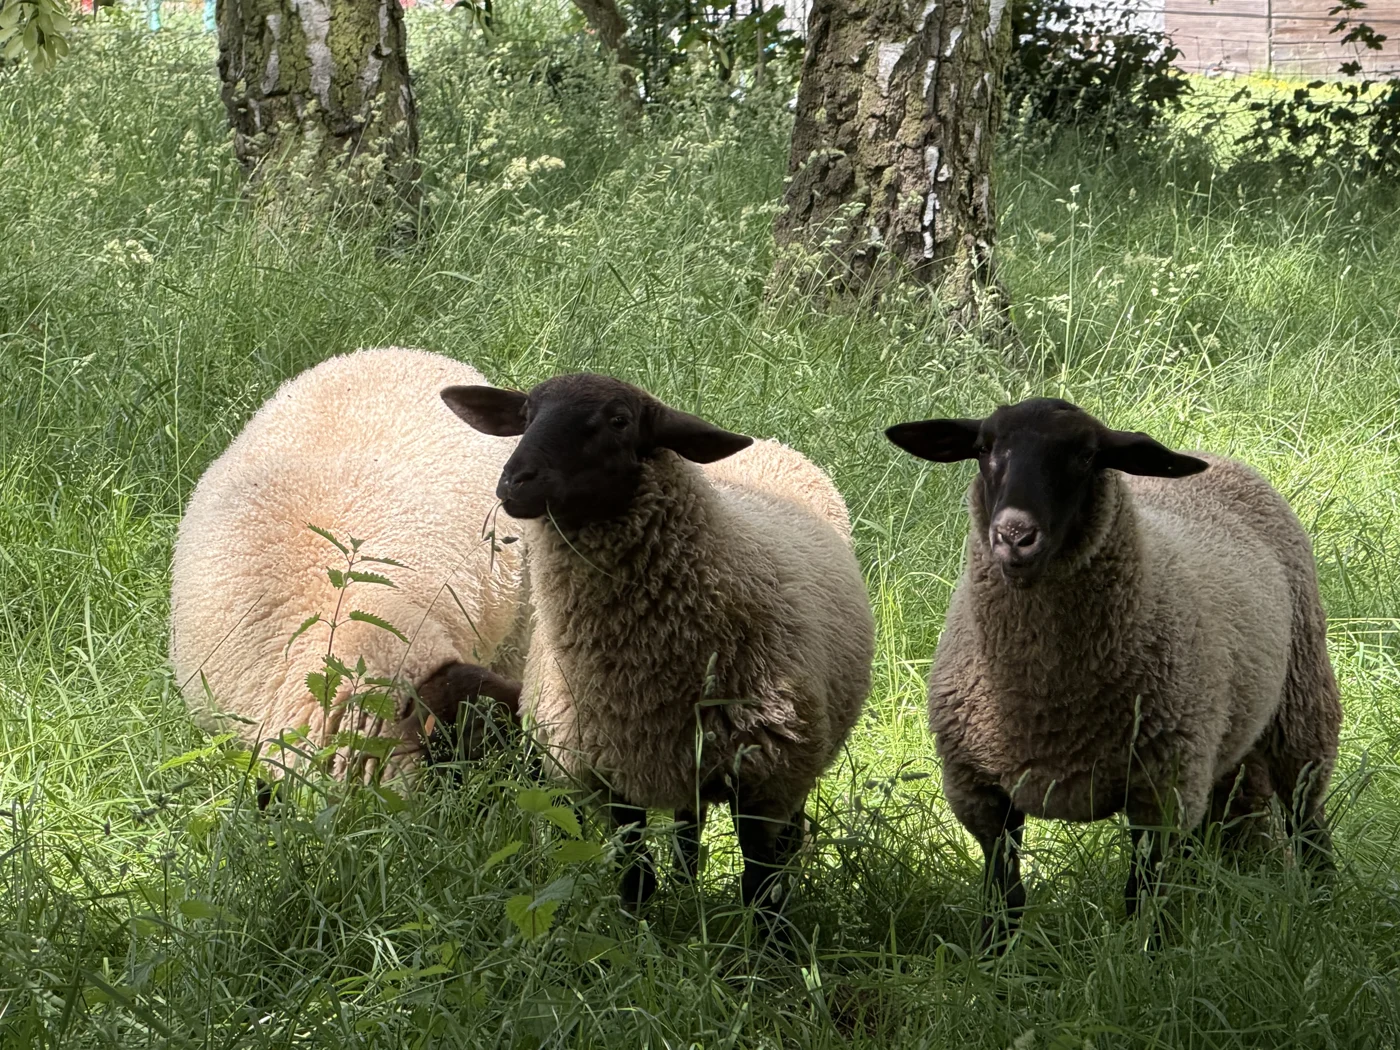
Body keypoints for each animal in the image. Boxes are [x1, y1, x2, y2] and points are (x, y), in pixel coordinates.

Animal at [440, 373, 875, 915]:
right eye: (526, 416)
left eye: (619, 420)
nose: (514, 482)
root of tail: (773, 444)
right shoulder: (611, 774)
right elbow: (636, 874)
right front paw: (638, 923)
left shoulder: (765, 779)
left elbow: (761, 889)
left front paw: (769, 938)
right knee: (690, 827)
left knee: (786, 839)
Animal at [885, 397, 1341, 945]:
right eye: (983, 448)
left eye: (1086, 455)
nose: (1014, 537)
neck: (1047, 704)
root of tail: (1210, 456)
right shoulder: (979, 791)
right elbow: (1003, 896)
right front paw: (995, 959)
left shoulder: (1161, 792)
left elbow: (1141, 896)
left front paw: (1150, 955)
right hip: (1226, 739)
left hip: (1302, 703)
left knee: (1307, 817)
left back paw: (1323, 904)